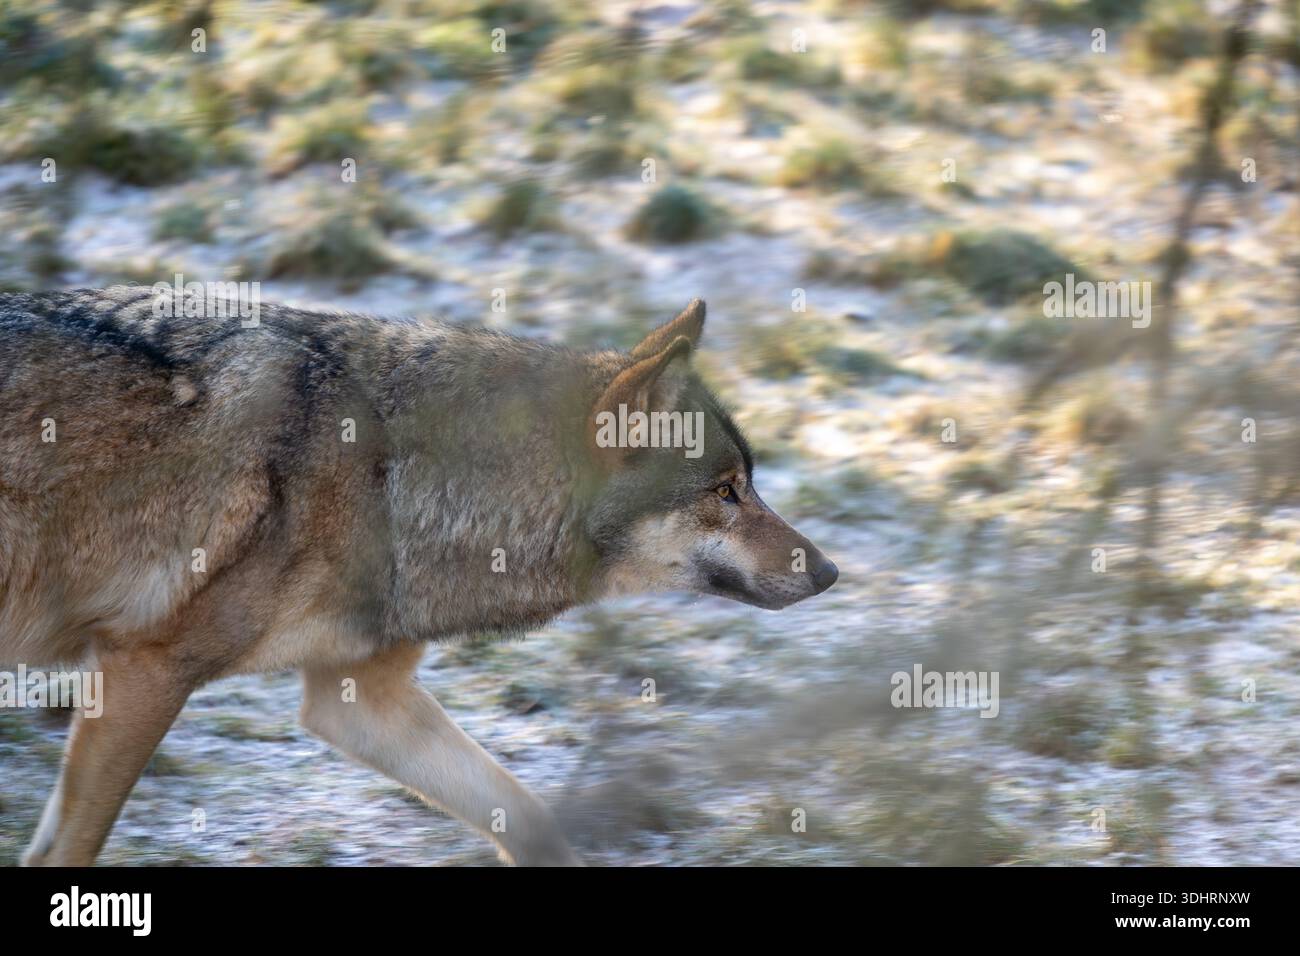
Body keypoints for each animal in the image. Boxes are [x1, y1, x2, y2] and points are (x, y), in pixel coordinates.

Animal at [0, 286, 838, 866]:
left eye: (749, 484)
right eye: (725, 491)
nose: (830, 572)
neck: (392, 472)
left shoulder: (358, 700)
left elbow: (527, 816)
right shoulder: (144, 668)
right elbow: (67, 849)